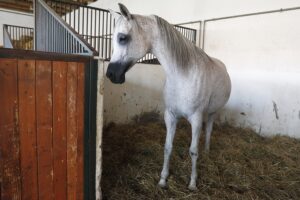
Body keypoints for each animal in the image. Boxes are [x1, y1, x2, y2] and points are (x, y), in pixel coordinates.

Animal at [106, 3, 231, 191]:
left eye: (122, 38)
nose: (111, 74)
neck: (182, 75)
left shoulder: (196, 118)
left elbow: (193, 150)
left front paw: (192, 183)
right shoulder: (170, 115)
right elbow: (167, 147)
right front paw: (163, 179)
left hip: (212, 112)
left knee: (209, 130)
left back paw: (207, 152)